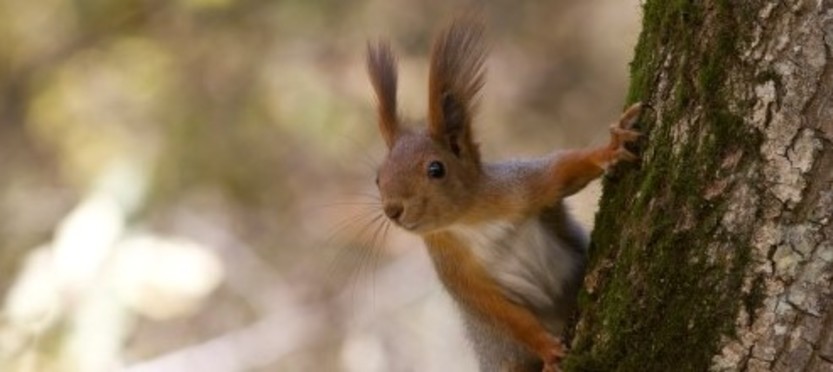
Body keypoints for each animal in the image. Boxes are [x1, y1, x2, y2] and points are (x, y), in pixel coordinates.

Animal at [366, 18, 644, 372]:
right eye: (378, 177)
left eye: (436, 169)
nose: (393, 209)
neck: (469, 220)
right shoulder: (455, 270)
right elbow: (502, 314)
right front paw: (548, 350)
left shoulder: (519, 188)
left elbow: (563, 172)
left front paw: (609, 149)